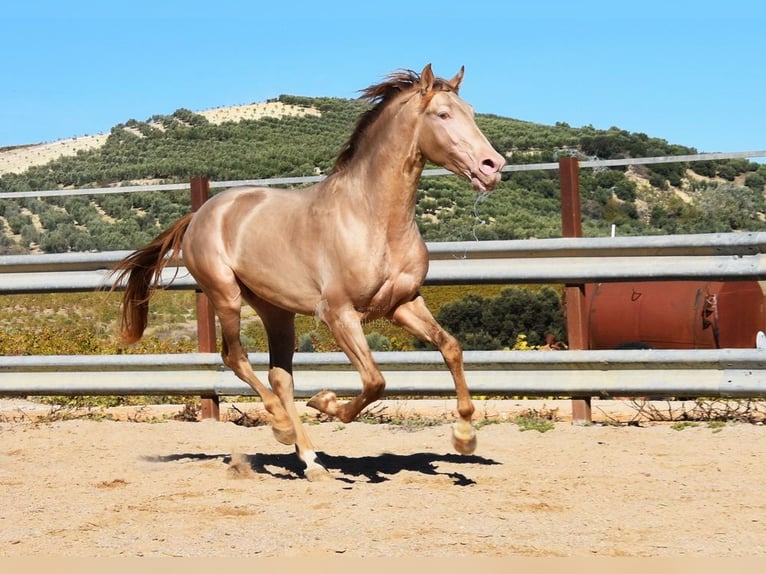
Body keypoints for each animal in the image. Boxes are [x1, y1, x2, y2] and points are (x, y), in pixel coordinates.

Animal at [112, 64, 504, 482]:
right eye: (443, 114)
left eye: (471, 112)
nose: (493, 166)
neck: (373, 218)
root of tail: (200, 213)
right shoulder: (339, 314)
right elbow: (375, 381)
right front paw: (326, 402)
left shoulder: (403, 304)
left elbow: (451, 347)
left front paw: (464, 437)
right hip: (225, 295)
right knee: (236, 358)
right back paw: (282, 428)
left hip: (275, 310)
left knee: (280, 376)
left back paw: (312, 461)